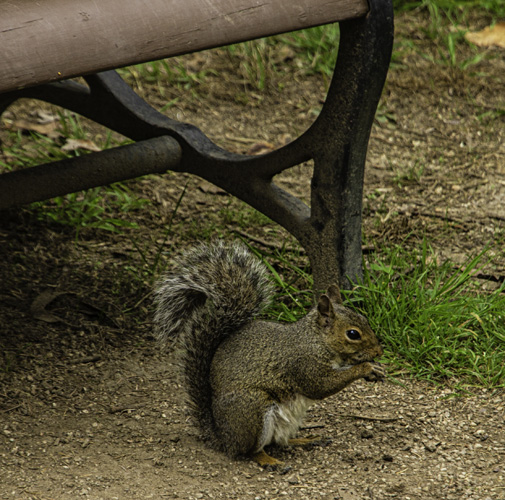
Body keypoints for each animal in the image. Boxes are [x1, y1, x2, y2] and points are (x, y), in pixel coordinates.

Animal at [154, 240, 382, 466]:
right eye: (352, 334)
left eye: (364, 318)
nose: (378, 351)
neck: (316, 340)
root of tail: (223, 437)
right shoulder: (304, 364)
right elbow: (321, 386)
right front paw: (365, 367)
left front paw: (375, 369)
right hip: (252, 409)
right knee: (251, 451)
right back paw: (270, 461)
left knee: (279, 441)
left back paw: (305, 439)